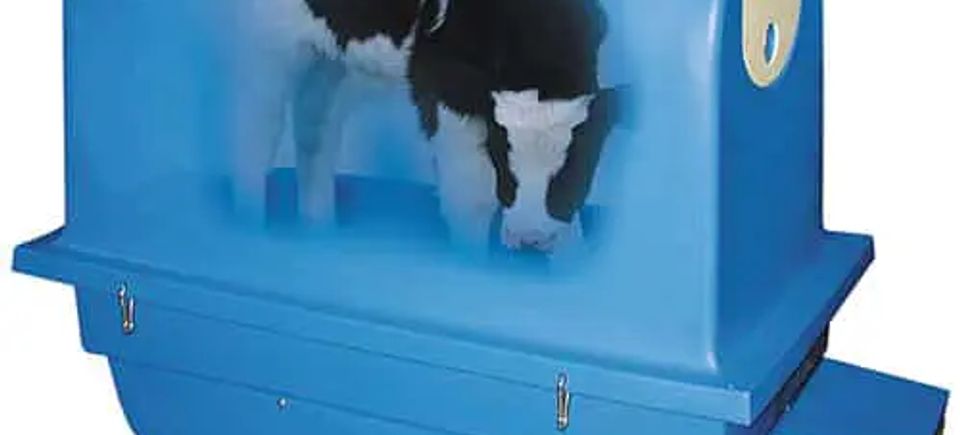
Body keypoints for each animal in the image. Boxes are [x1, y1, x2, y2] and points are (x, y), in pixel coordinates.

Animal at [231, 0, 625, 253]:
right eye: (502, 157)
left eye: (578, 167)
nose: (531, 238)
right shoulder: (445, 87)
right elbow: (471, 198)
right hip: (271, 45)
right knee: (255, 134)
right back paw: (249, 228)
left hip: (331, 63)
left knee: (316, 132)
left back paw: (318, 234)